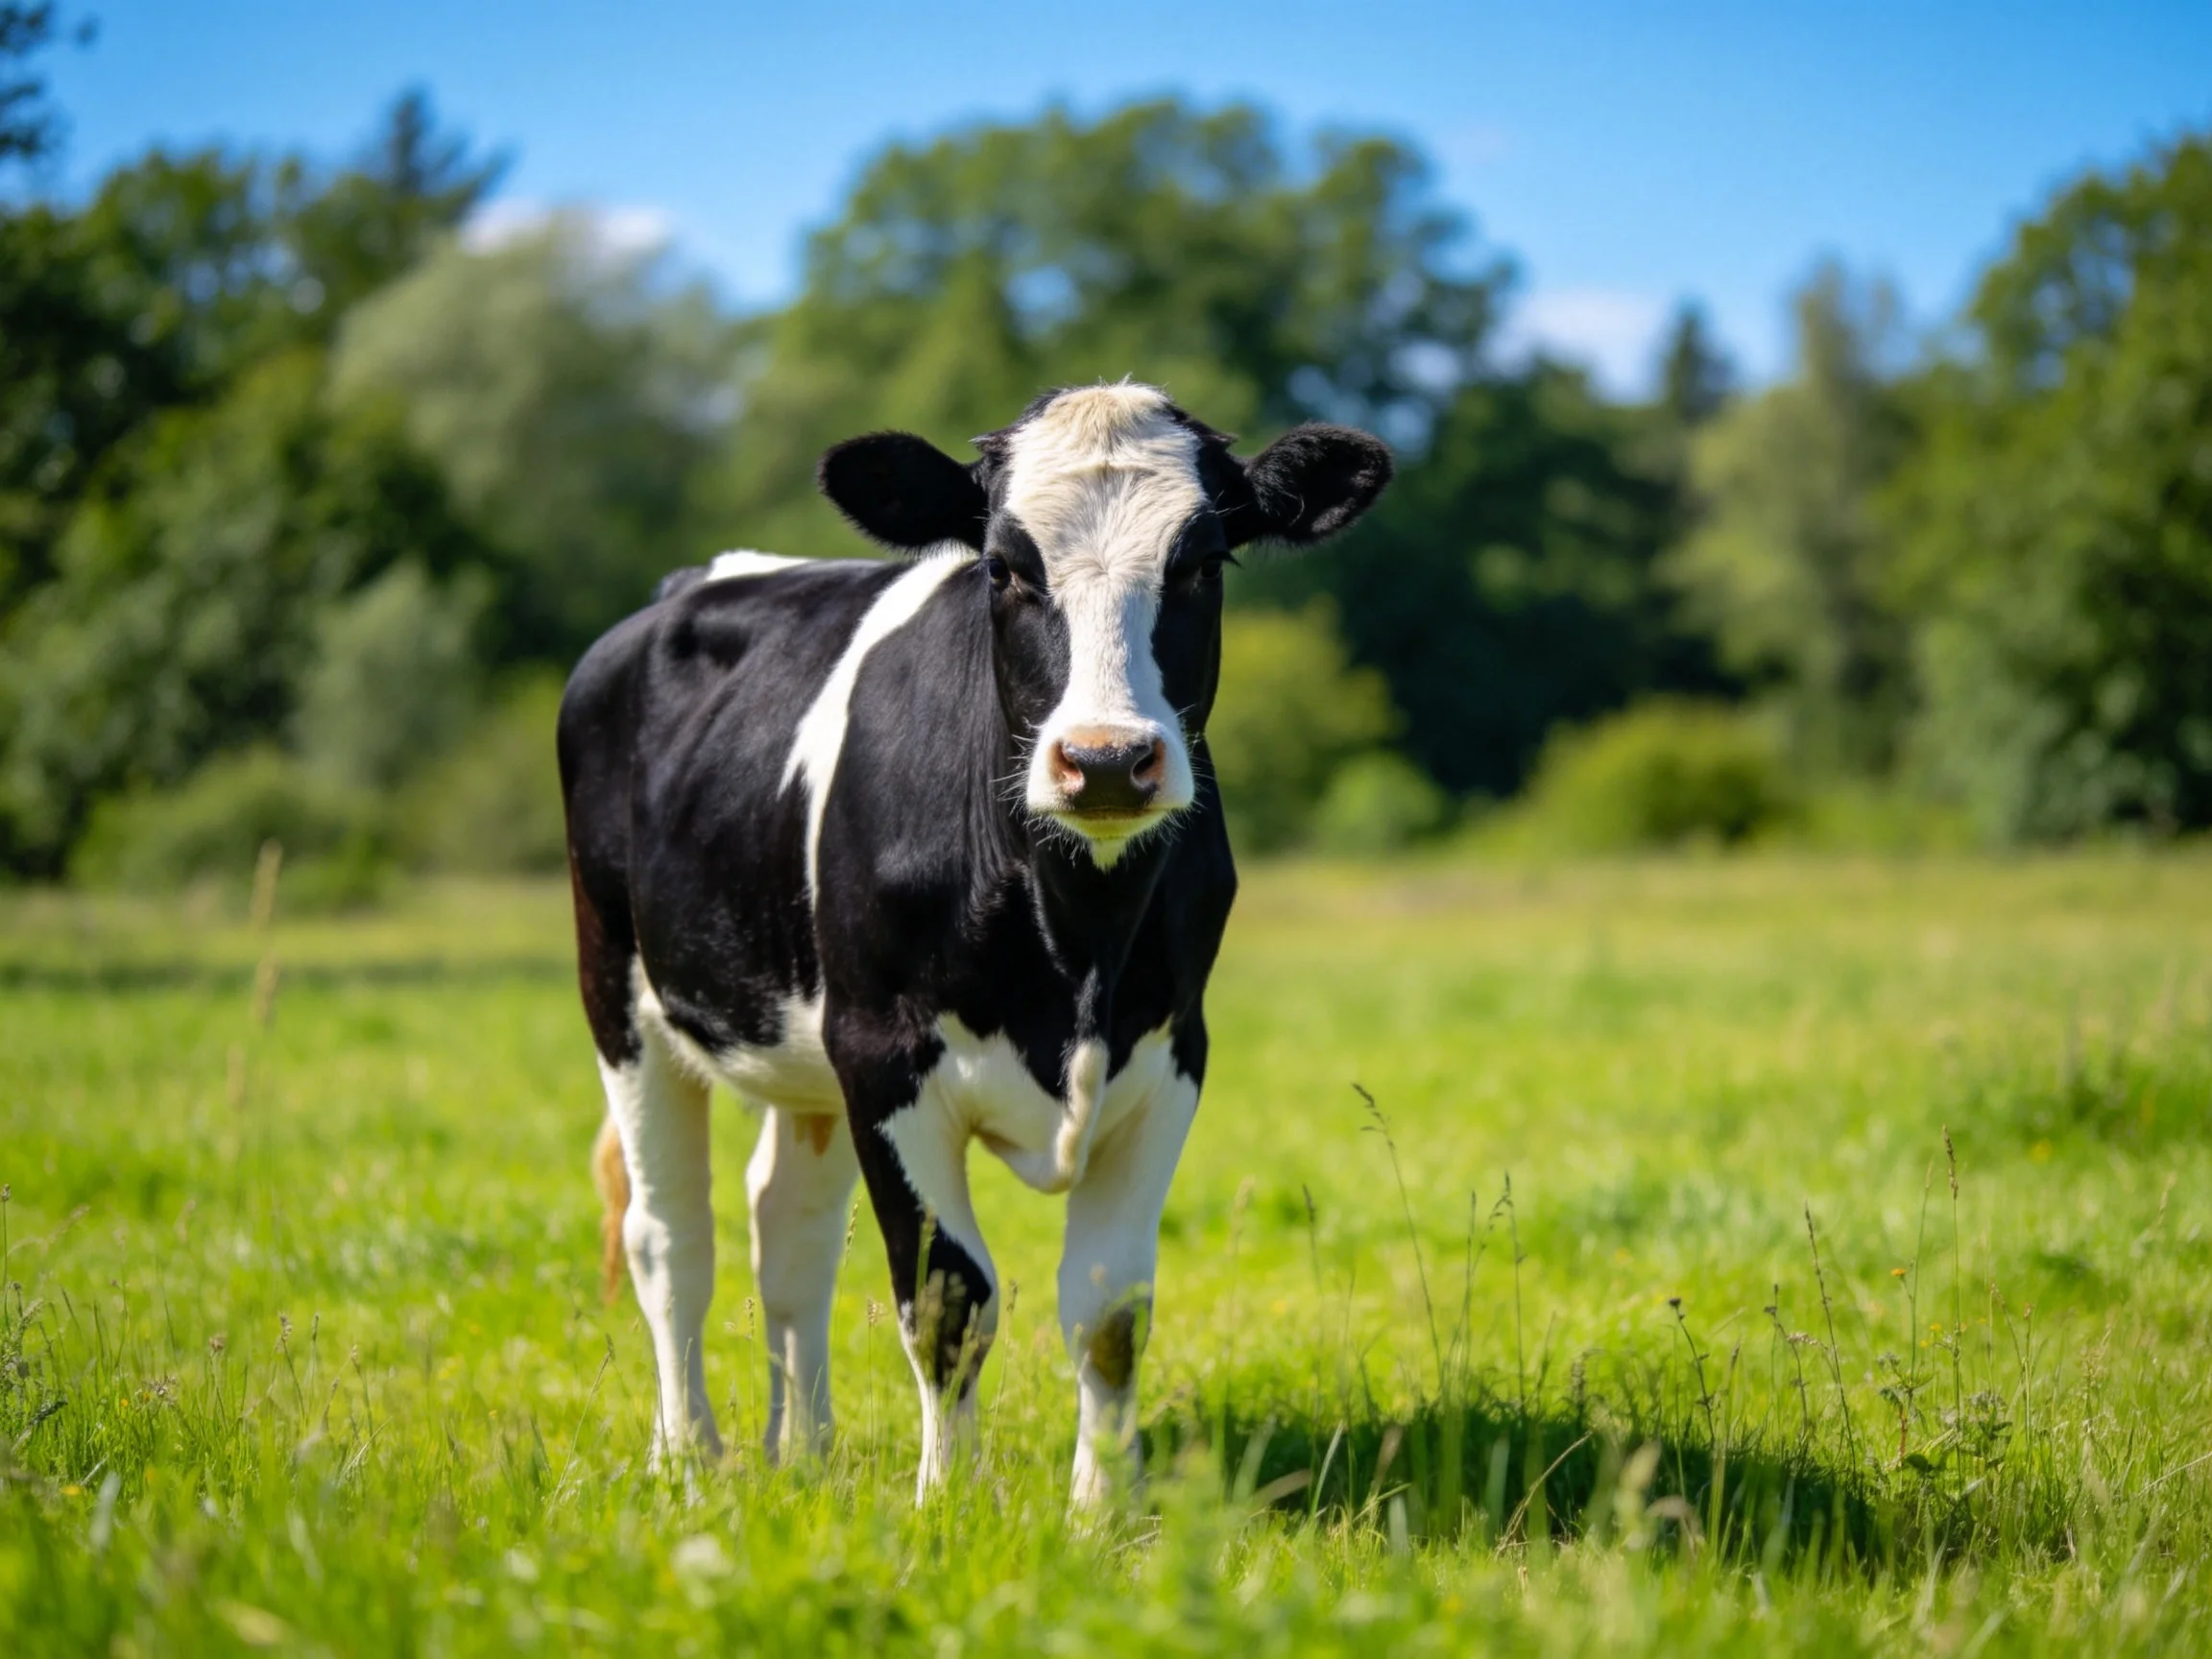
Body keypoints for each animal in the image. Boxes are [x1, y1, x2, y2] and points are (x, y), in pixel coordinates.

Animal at [559, 381, 1391, 1503]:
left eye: (1204, 563)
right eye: (1002, 566)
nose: (1107, 760)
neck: (1071, 945)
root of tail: (700, 580)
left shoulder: (1172, 1051)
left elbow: (1109, 1312)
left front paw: (1102, 1512)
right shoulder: (884, 1055)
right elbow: (950, 1299)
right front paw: (946, 1506)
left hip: (807, 1052)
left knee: (789, 1230)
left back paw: (804, 1451)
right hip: (622, 993)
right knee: (669, 1238)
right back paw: (690, 1456)